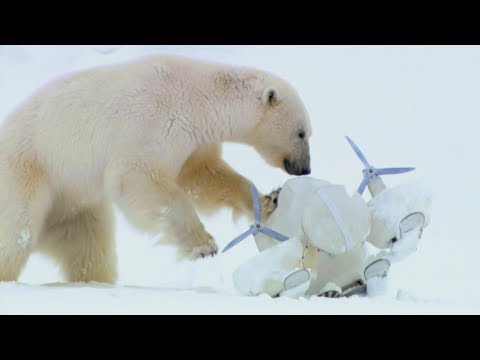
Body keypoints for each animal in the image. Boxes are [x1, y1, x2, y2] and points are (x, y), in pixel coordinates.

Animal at [0, 54, 312, 282]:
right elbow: (139, 179)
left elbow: (203, 175)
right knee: (17, 231)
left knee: (87, 243)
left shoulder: (193, 141)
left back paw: (94, 281)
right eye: (301, 133)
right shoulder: (150, 124)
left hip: (71, 202)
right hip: (28, 170)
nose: (305, 169)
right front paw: (204, 246)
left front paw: (269, 199)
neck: (196, 97)